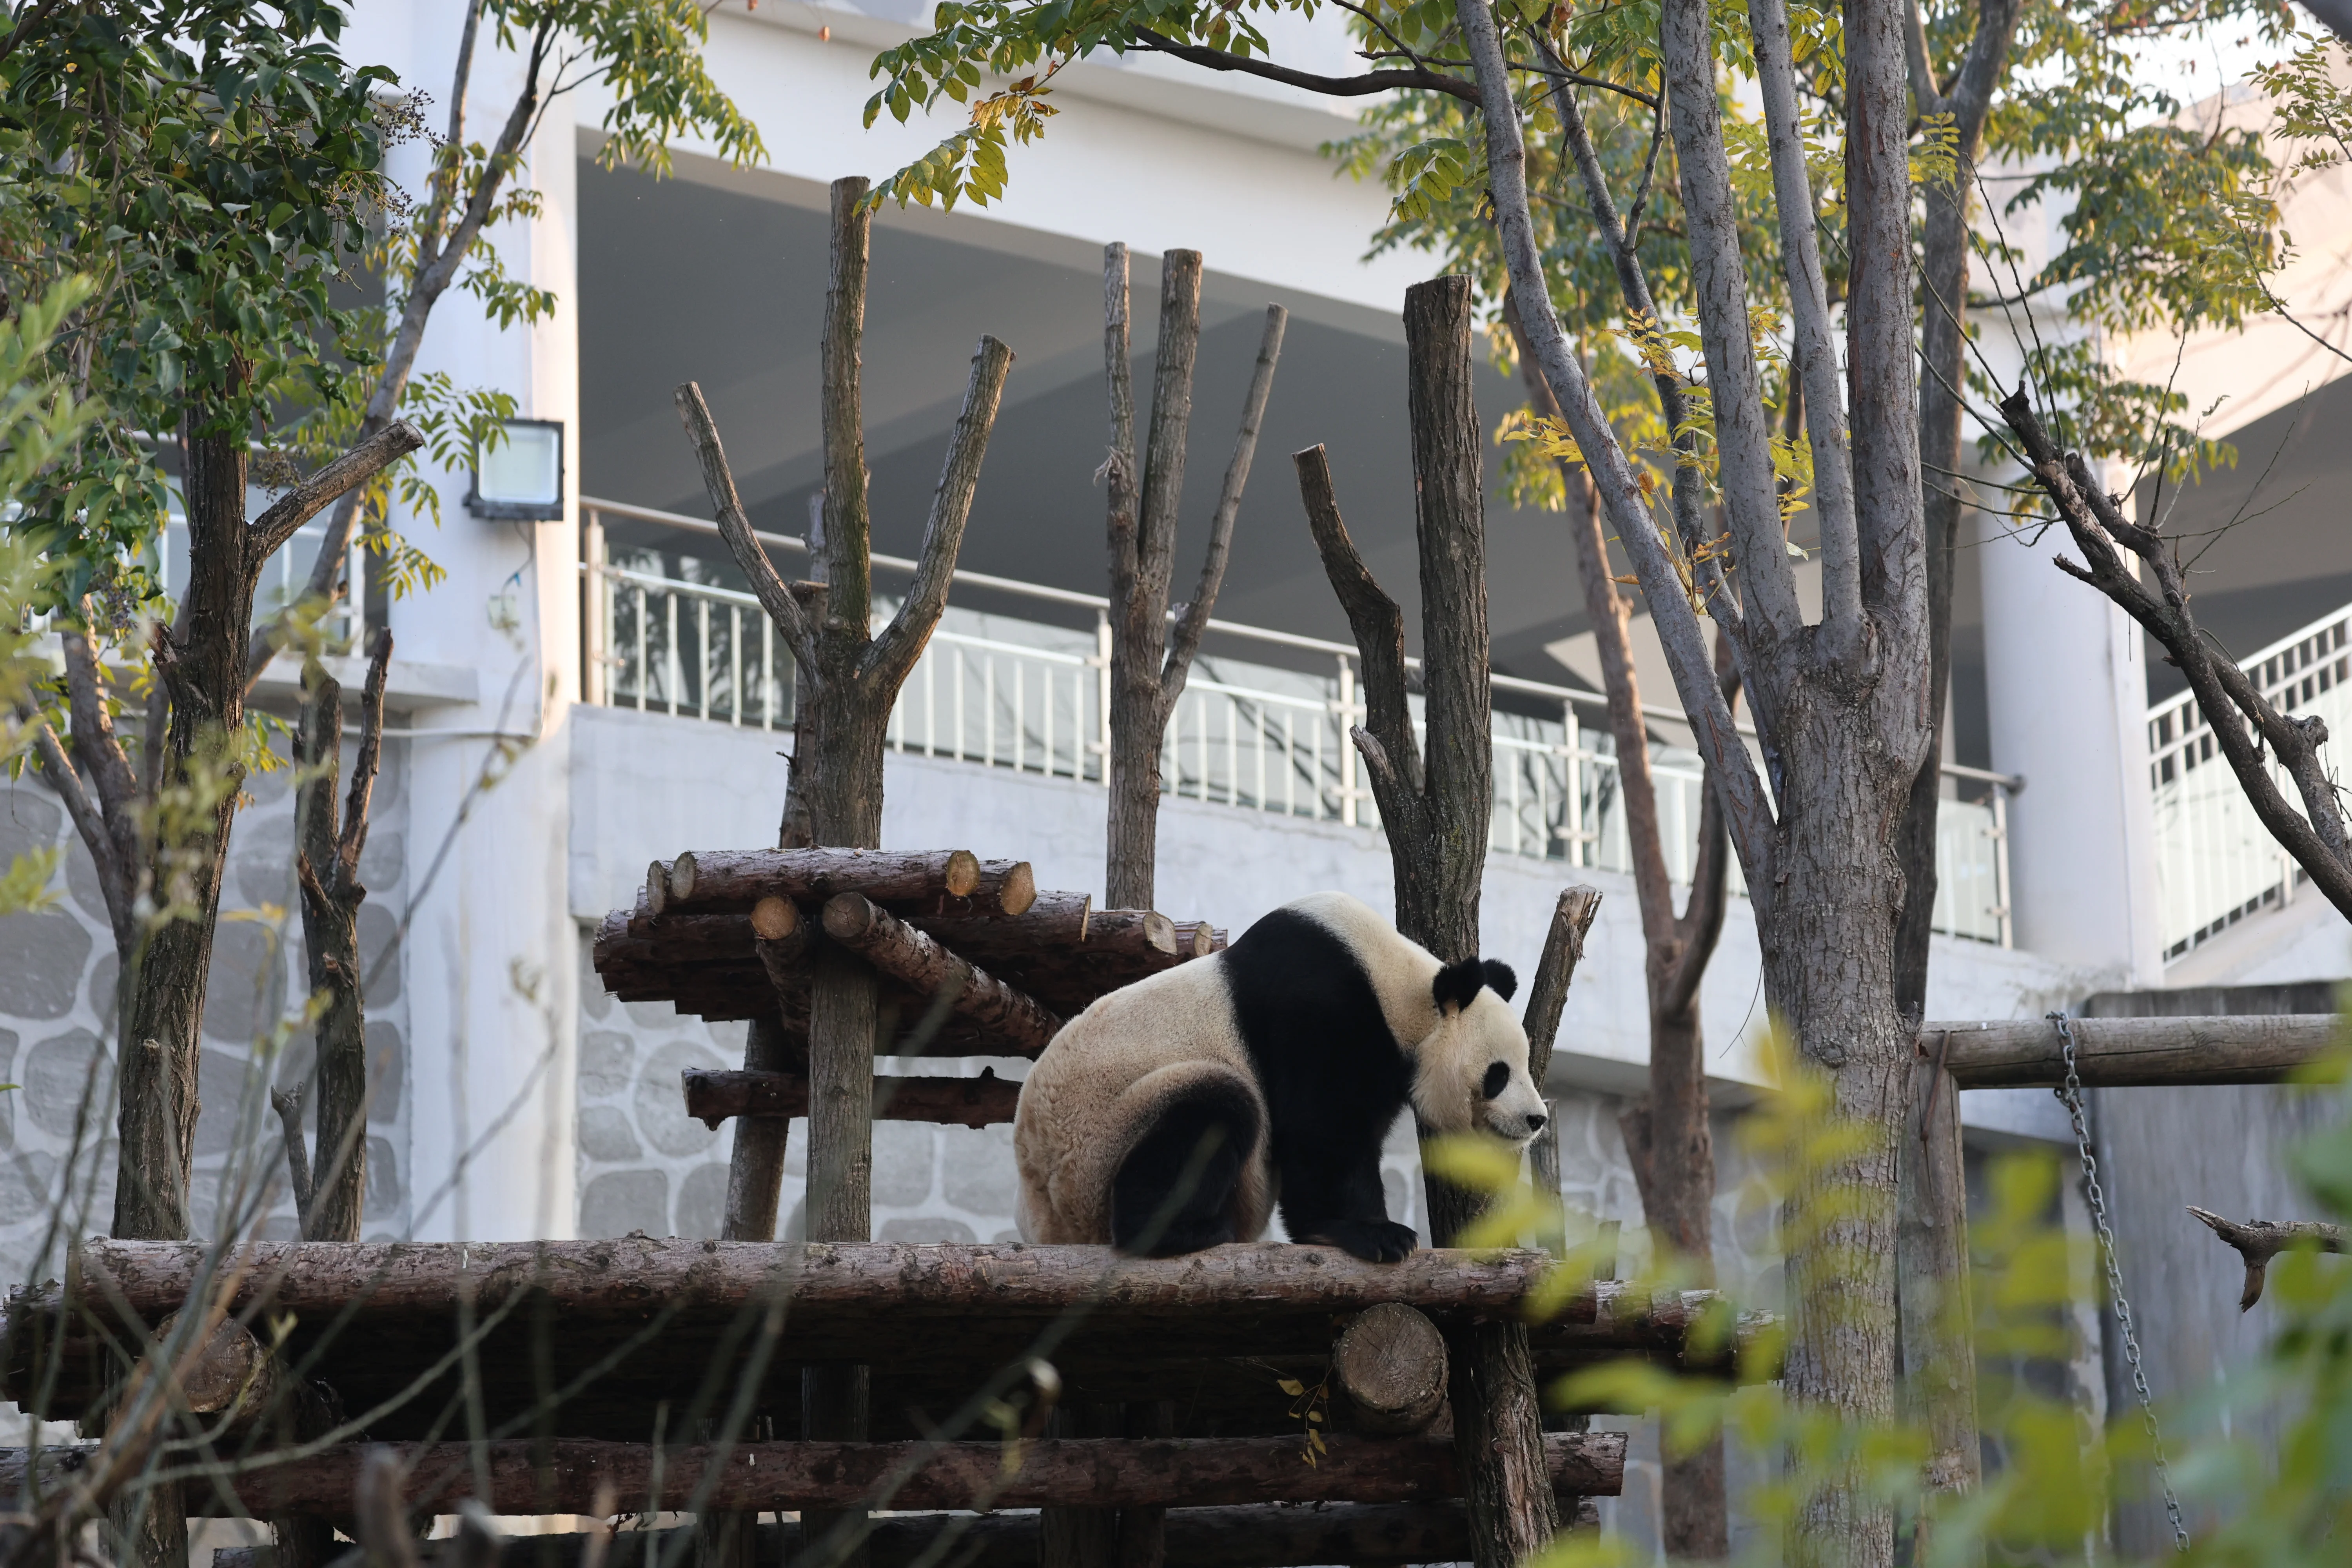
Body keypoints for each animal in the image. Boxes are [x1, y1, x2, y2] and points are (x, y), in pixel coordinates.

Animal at [1013, 891, 1550, 1262]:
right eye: (1499, 1074)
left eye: (1524, 1065)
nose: (1536, 1119)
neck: (1398, 988)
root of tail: (1046, 1222)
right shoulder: (1322, 1012)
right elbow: (1324, 1133)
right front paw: (1375, 1234)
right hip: (1099, 1142)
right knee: (1213, 1110)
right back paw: (1187, 1232)